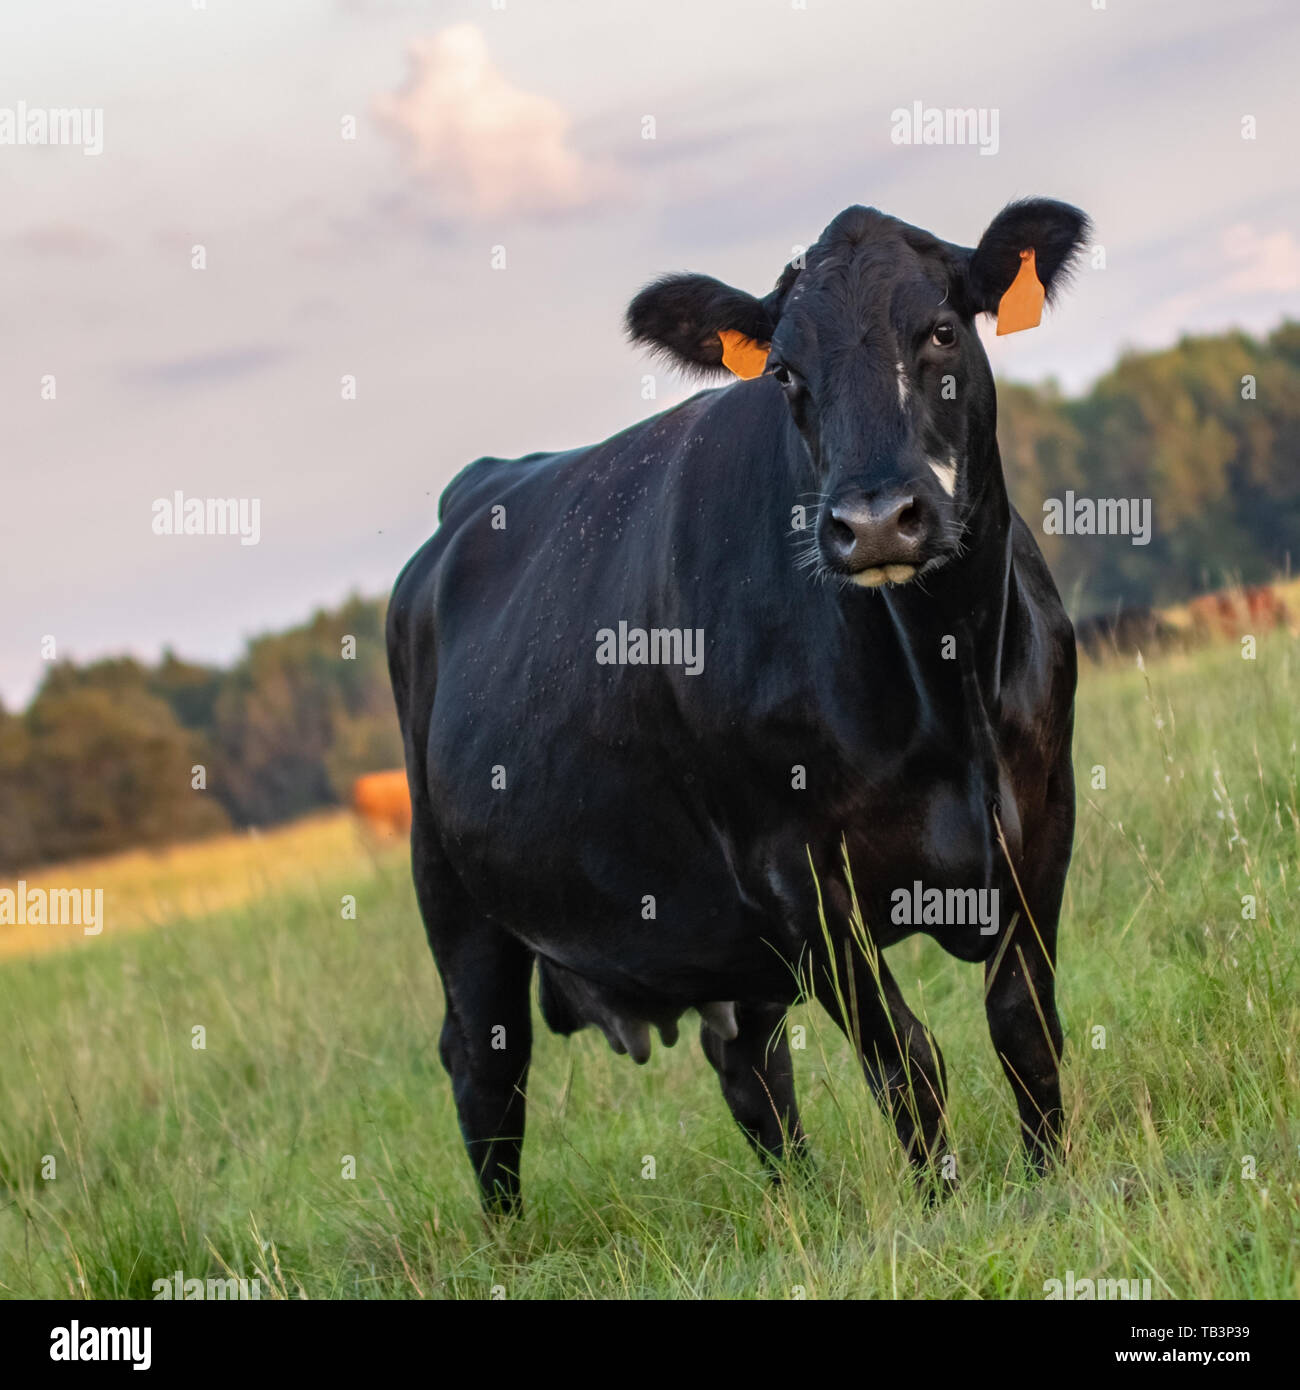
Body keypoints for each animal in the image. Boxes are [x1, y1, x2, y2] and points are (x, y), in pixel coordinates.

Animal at [386, 198, 1090, 1217]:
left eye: (941, 330)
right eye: (786, 372)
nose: (874, 521)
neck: (948, 682)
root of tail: (476, 487)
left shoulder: (1046, 806)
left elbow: (1022, 1021)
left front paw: (1053, 1179)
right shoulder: (790, 864)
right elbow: (906, 1059)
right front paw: (943, 1210)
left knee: (748, 1063)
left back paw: (799, 1200)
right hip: (451, 892)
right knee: (485, 1064)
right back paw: (508, 1238)